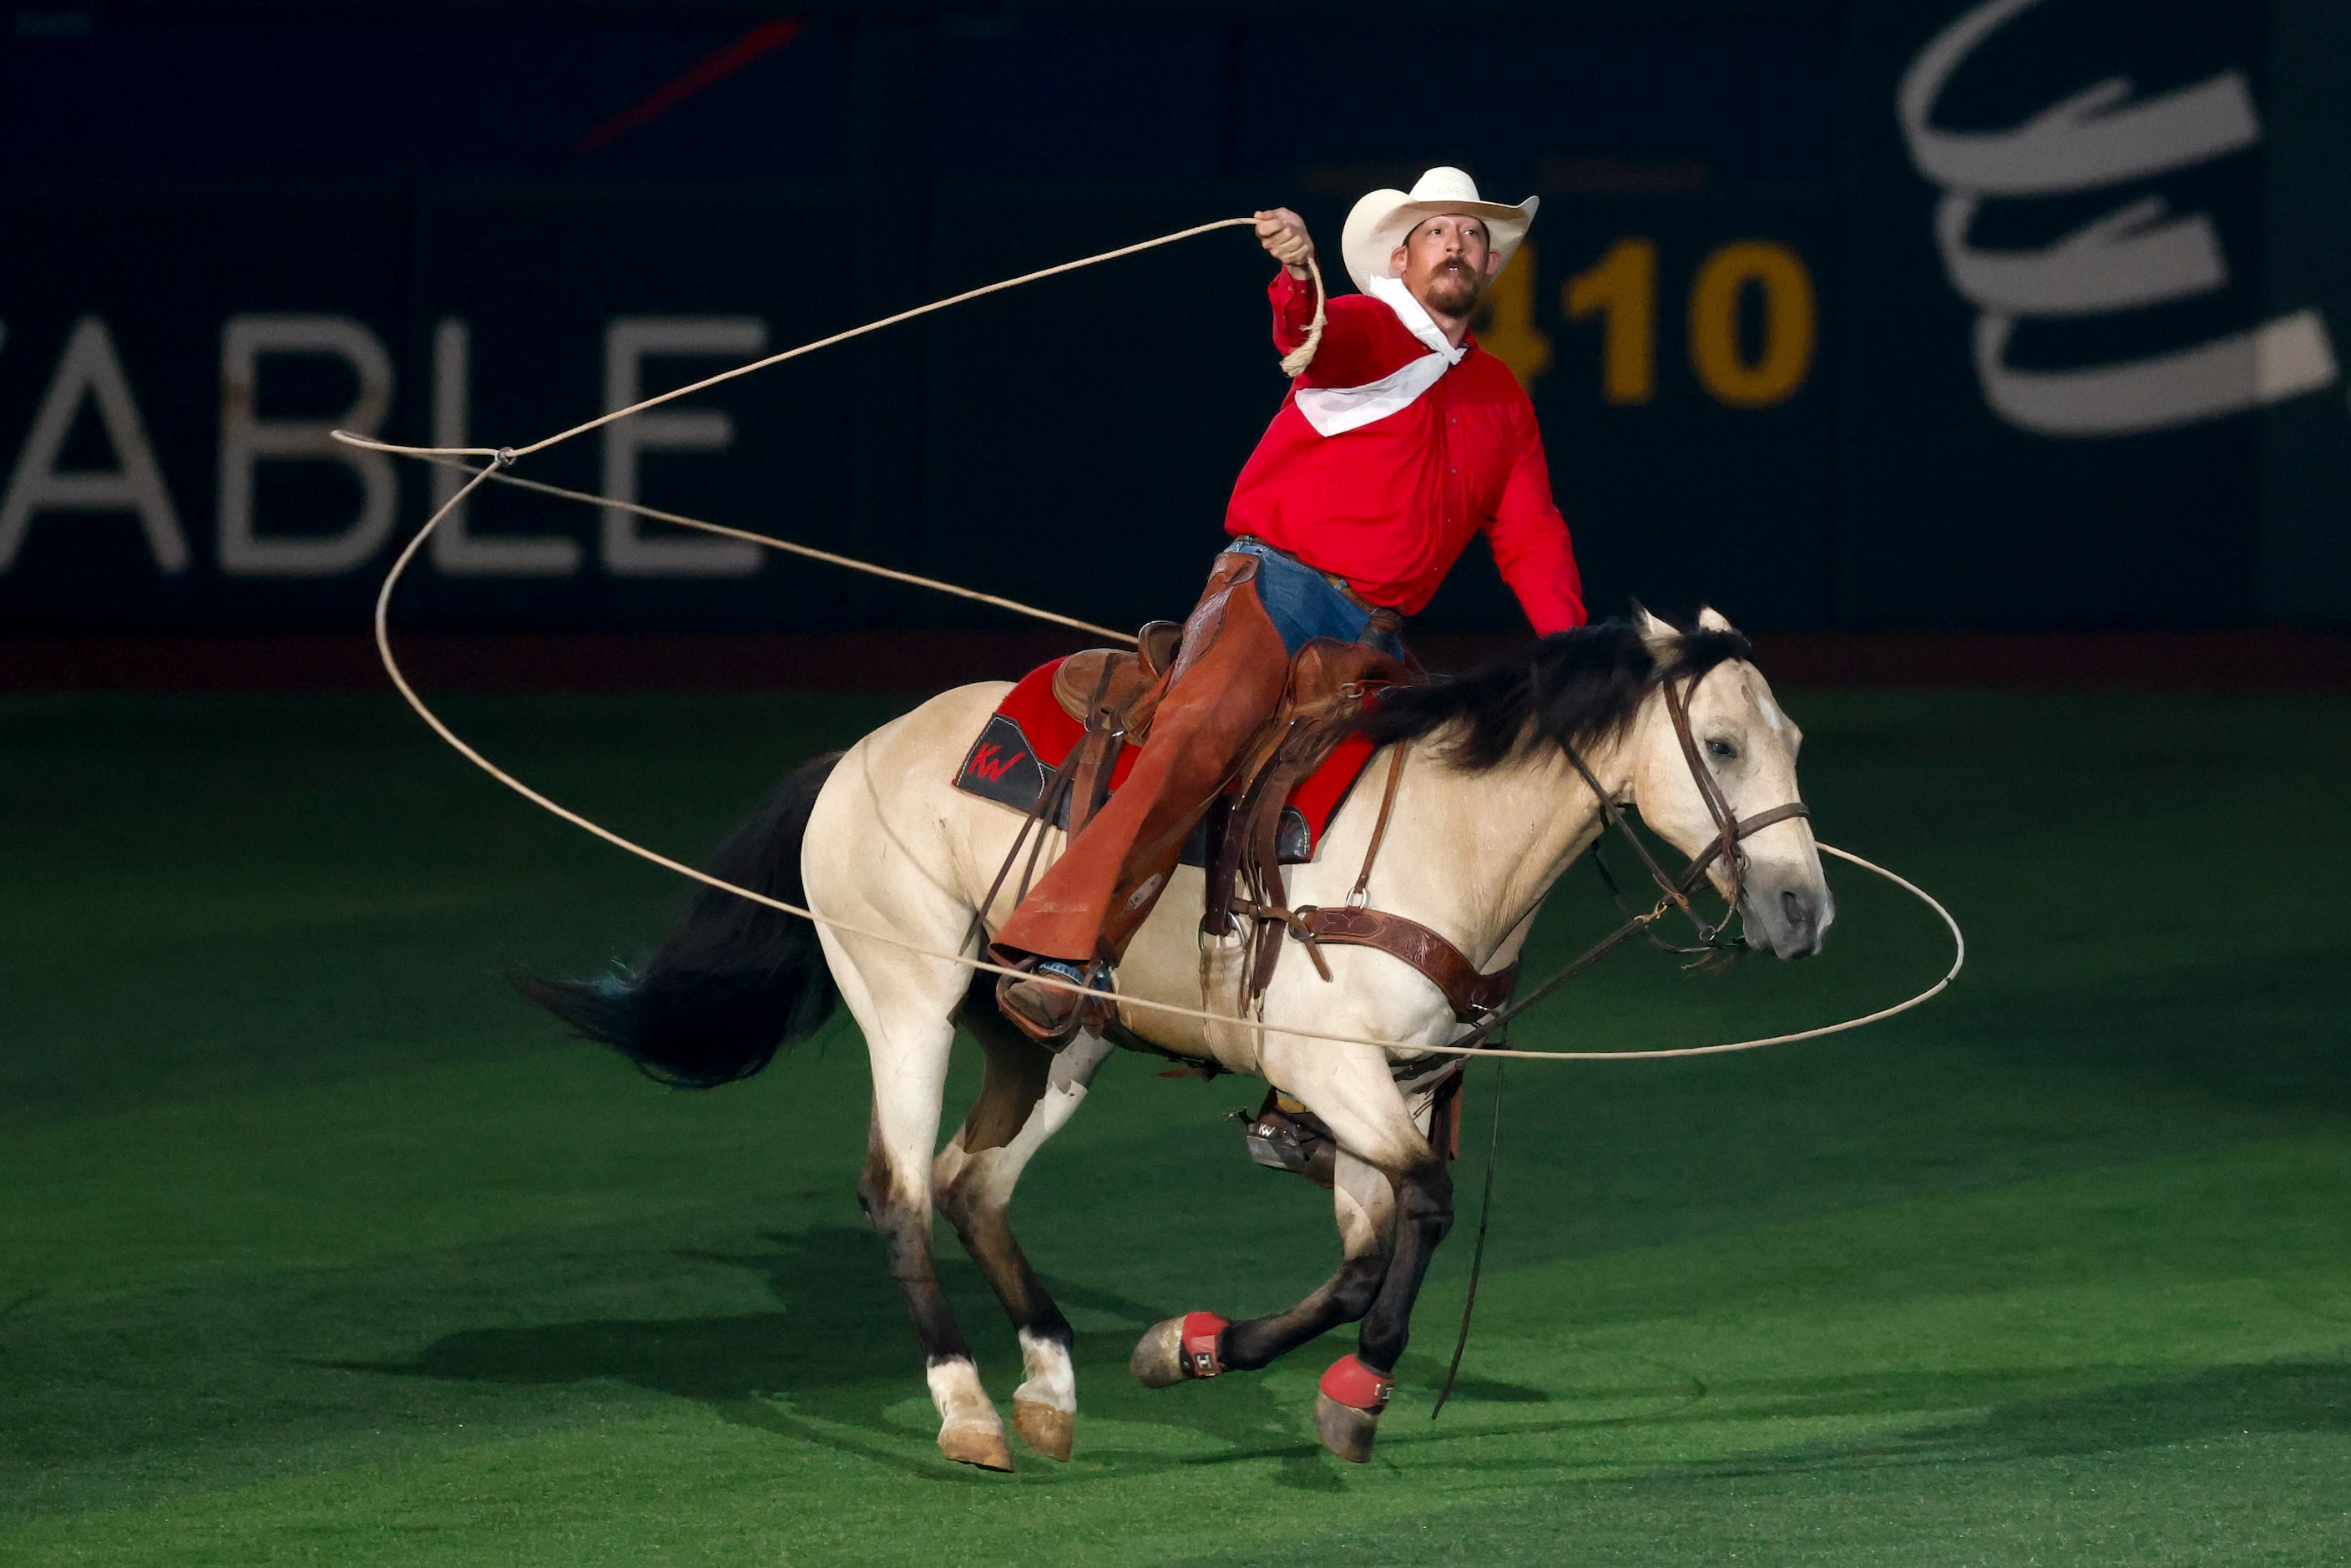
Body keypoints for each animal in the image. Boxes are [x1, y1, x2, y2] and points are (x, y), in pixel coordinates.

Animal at [523, 606, 1824, 1476]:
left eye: (1794, 740)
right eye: (1719, 745)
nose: (1802, 909)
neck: (1447, 837)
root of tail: (855, 756)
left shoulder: (1398, 1081)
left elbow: (1369, 1246)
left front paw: (1201, 1353)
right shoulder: (1326, 1066)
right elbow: (1423, 1207)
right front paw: (1340, 1378)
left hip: (1049, 1037)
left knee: (972, 1181)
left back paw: (1050, 1381)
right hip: (905, 997)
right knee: (898, 1188)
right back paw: (968, 1408)